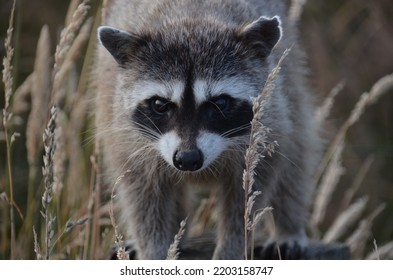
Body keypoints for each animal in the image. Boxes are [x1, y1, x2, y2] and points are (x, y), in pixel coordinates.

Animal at [94, 0, 318, 260]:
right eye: (160, 105)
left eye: (220, 103)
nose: (188, 159)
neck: (192, 18)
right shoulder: (126, 135)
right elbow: (143, 197)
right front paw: (153, 250)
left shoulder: (268, 126)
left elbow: (248, 196)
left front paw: (231, 250)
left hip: (290, 87)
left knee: (297, 156)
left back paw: (288, 228)